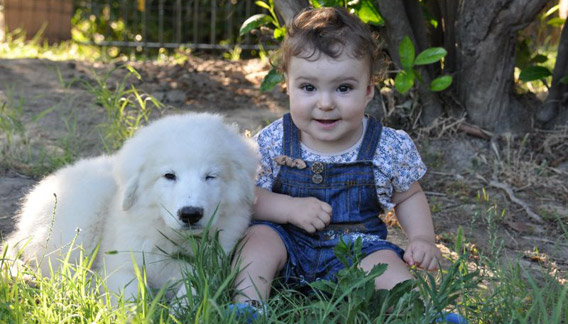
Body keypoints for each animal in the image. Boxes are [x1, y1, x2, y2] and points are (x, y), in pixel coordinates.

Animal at [3, 114, 258, 302]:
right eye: (169, 175)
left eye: (211, 176)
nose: (190, 214)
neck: (169, 237)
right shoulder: (122, 264)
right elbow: (130, 297)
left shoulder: (211, 266)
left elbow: (194, 289)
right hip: (82, 214)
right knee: (59, 271)